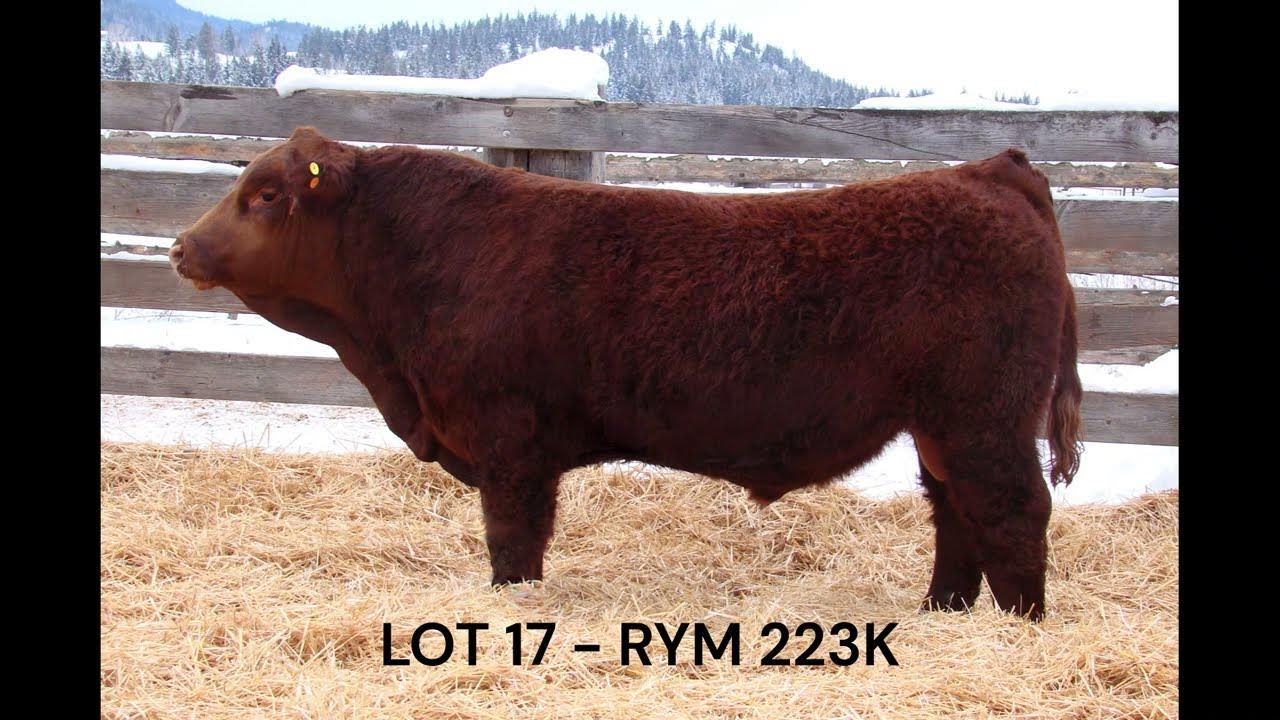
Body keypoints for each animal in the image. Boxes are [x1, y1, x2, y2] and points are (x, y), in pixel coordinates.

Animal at [170, 126, 1082, 621]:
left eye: (266, 195)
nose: (181, 246)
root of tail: (991, 171)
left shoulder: (509, 445)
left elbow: (513, 544)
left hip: (984, 416)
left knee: (1012, 510)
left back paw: (1019, 629)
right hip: (941, 426)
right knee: (956, 513)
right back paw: (941, 615)